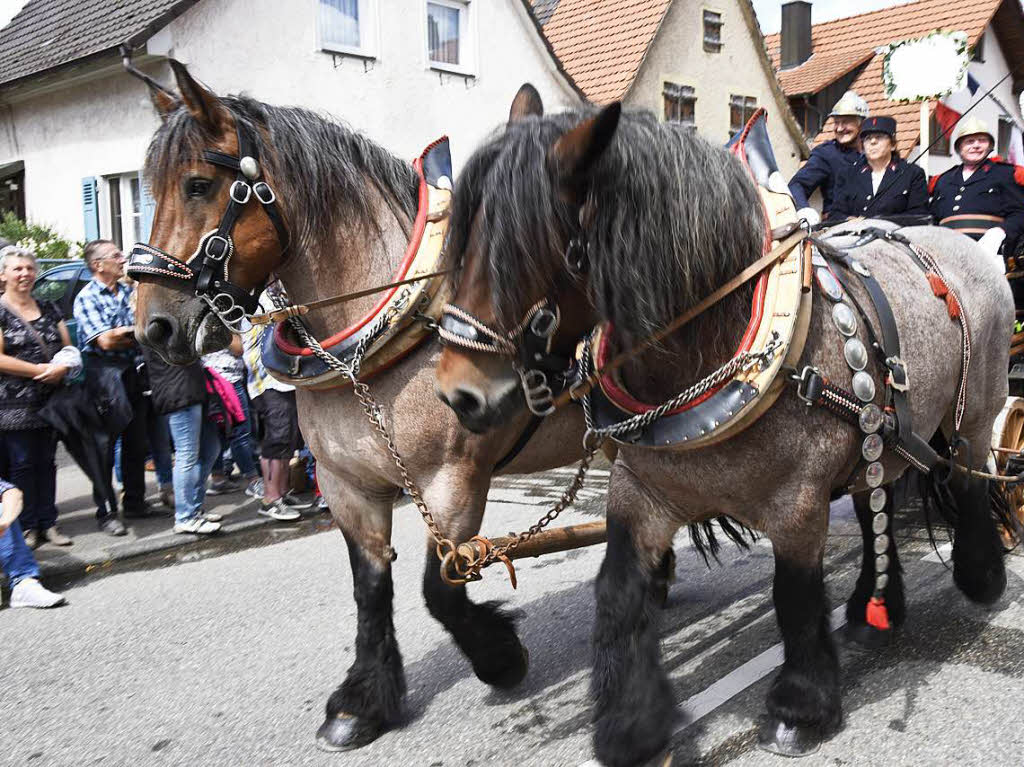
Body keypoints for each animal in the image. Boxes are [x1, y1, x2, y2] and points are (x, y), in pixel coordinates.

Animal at [133, 62, 602, 749]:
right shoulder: (344, 483)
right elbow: (370, 587)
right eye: (147, 189)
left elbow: (440, 588)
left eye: (197, 185)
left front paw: (499, 656)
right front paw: (363, 700)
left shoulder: (453, 480)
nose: (154, 329)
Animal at [436, 98, 1011, 761]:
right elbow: (618, 593)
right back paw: (876, 609)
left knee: (968, 478)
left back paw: (981, 576)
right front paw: (631, 726)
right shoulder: (642, 494)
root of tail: (970, 245)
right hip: (882, 430)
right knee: (879, 504)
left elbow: (794, 595)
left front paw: (800, 707)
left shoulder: (797, 502)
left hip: (975, 412)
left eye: (527, 252)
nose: (457, 395)